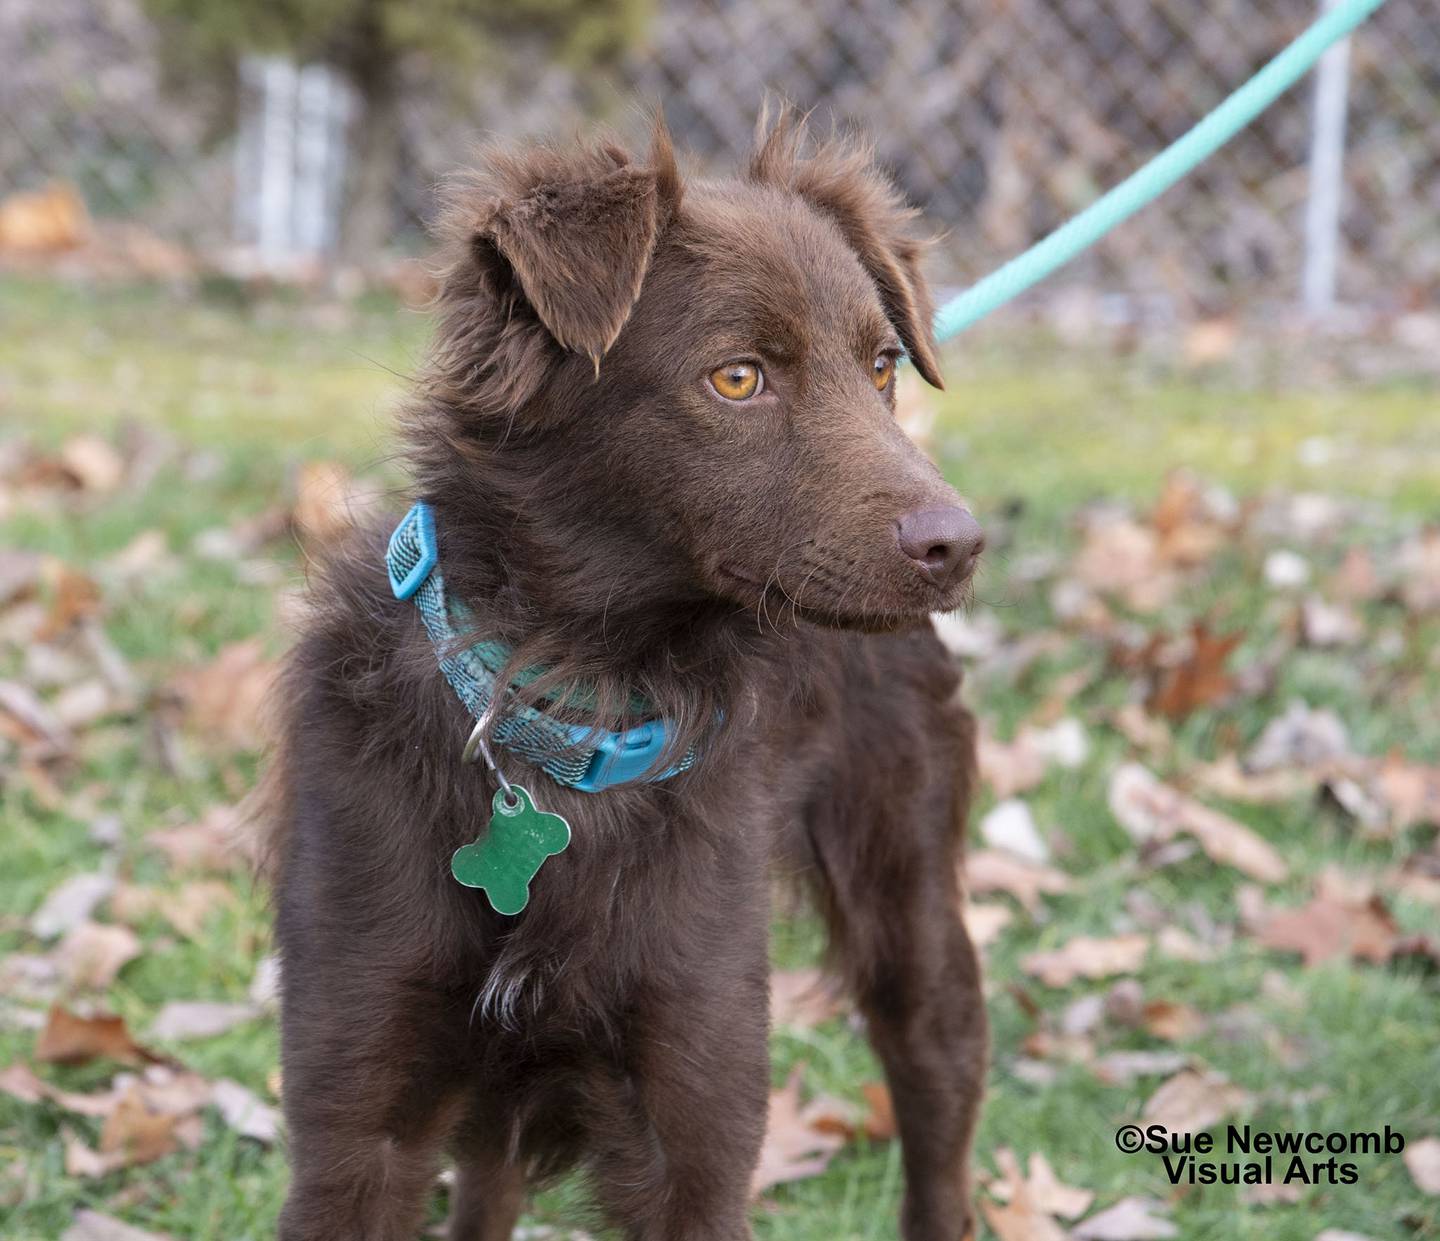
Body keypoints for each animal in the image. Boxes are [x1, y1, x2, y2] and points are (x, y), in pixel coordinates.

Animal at [267, 114, 990, 1241]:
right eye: (737, 377)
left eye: (881, 368)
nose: (958, 544)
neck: (574, 705)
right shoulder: (356, 1125)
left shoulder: (696, 1123)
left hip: (908, 897)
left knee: (938, 1092)